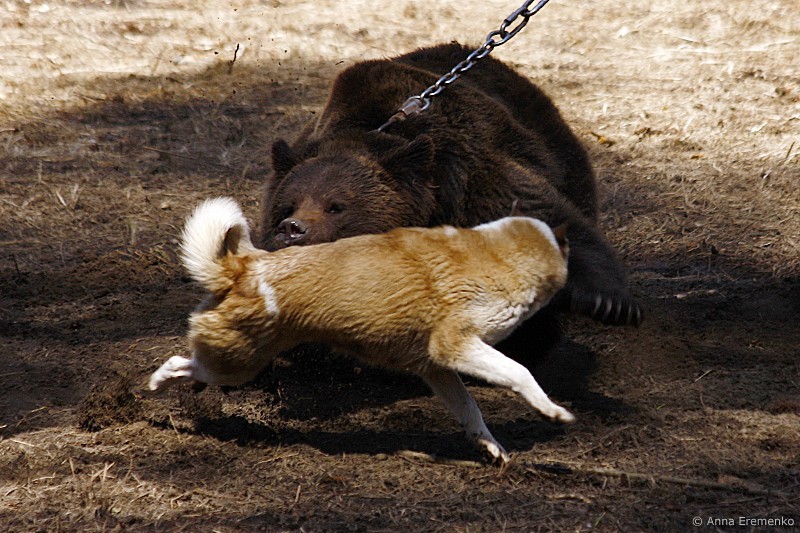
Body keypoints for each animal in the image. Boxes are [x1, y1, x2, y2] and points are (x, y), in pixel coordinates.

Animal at [148, 197, 574, 464]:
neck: (502, 253)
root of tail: (243, 267)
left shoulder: (437, 368)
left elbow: (470, 410)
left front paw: (490, 446)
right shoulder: (454, 344)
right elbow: (520, 372)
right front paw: (553, 411)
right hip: (236, 363)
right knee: (176, 363)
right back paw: (155, 386)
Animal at [258, 43, 642, 364]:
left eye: (336, 206)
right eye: (288, 206)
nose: (292, 229)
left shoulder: (474, 179)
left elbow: (550, 219)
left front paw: (609, 303)